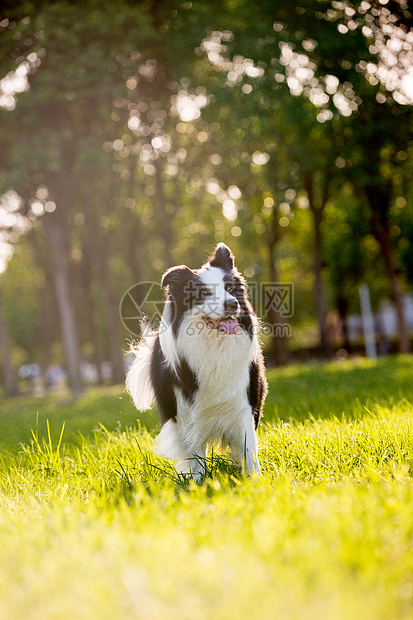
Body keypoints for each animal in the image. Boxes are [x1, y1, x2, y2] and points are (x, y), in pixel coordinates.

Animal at [125, 242, 268, 480]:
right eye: (205, 292)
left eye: (230, 289)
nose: (232, 304)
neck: (213, 346)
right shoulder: (185, 413)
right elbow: (195, 453)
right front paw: (199, 482)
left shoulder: (244, 403)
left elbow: (248, 446)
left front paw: (253, 479)